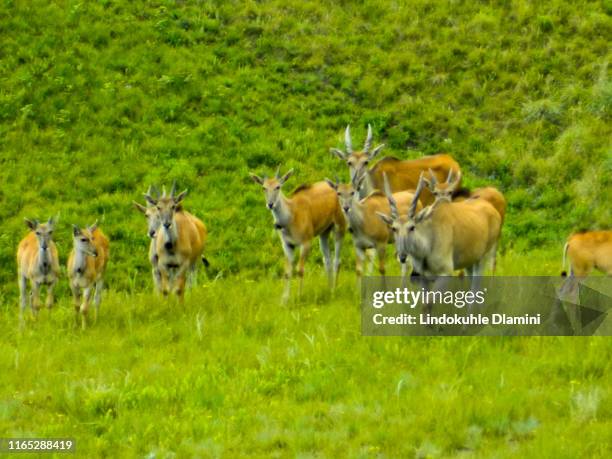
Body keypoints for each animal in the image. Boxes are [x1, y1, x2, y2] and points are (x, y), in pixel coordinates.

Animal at [247, 169, 344, 306]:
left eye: (278, 187)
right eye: (264, 188)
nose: (270, 204)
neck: (291, 216)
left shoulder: (306, 243)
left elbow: (300, 270)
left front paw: (299, 296)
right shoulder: (288, 245)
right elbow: (287, 272)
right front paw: (284, 300)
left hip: (340, 227)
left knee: (337, 260)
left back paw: (334, 291)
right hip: (324, 233)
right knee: (327, 260)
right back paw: (329, 290)